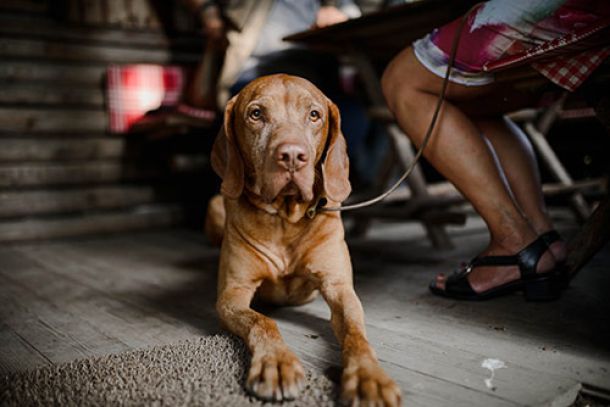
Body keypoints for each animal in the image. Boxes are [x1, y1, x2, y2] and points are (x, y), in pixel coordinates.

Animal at [209, 75, 400, 406]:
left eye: (314, 115)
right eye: (256, 114)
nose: (292, 156)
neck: (286, 217)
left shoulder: (340, 288)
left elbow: (356, 334)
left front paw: (369, 377)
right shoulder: (233, 295)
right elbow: (262, 322)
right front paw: (276, 363)